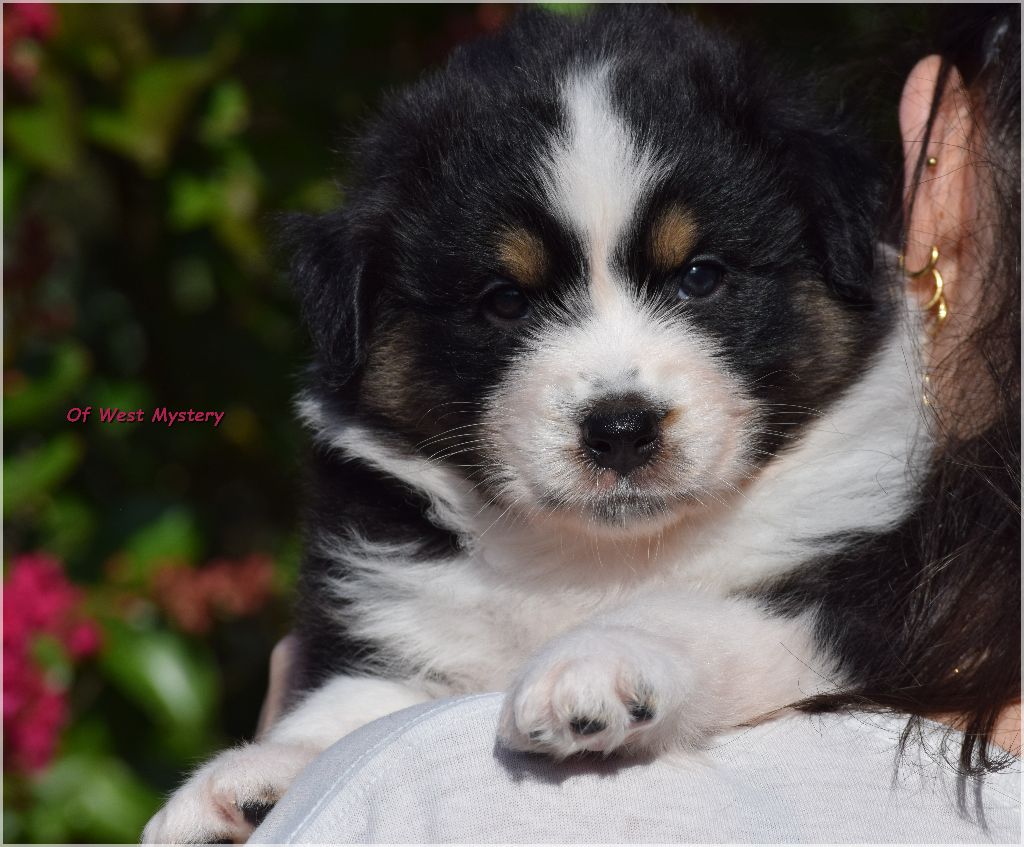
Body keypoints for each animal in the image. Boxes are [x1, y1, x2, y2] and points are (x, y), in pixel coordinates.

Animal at [144, 6, 929, 842]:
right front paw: (251, 772)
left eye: (701, 276)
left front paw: (597, 662)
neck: (591, 556)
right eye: (505, 300)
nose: (621, 428)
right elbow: (354, 695)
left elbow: (699, 608)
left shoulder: (864, 596)